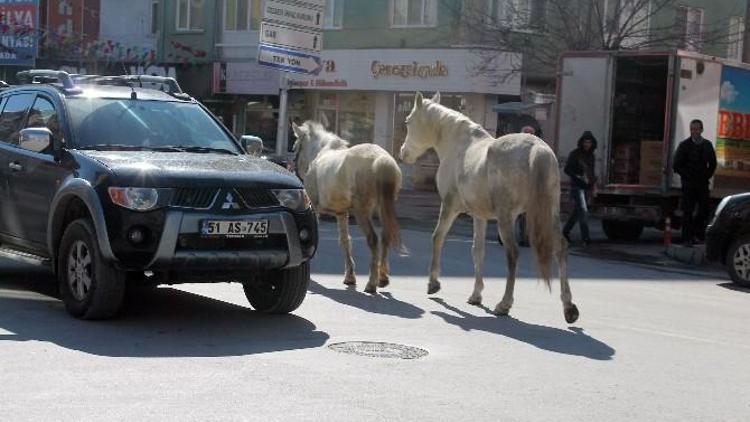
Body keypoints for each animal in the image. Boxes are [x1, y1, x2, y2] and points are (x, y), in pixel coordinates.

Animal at [292, 119, 406, 294]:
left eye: (294, 147)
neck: (321, 152)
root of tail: (382, 161)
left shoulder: (315, 209)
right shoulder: (341, 213)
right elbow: (345, 241)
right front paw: (350, 277)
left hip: (362, 212)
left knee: (373, 239)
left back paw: (371, 283)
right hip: (382, 208)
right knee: (385, 236)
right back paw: (382, 278)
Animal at [400, 91, 580, 324]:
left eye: (408, 121)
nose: (403, 153)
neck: (458, 145)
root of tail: (537, 149)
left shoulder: (450, 206)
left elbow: (437, 237)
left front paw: (433, 284)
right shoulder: (480, 216)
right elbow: (478, 251)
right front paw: (476, 295)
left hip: (506, 218)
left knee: (513, 253)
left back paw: (504, 304)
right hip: (550, 214)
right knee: (561, 247)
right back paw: (569, 308)